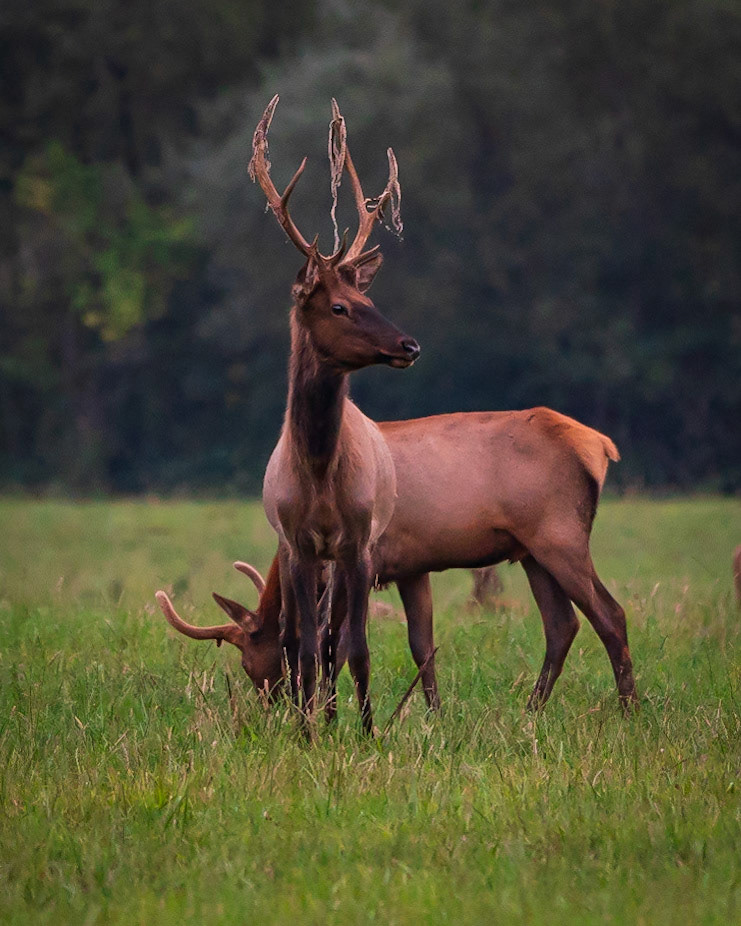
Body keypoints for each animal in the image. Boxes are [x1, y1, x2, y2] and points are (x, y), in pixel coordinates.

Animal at [157, 408, 638, 716]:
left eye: (248, 659)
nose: (270, 707)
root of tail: (601, 446)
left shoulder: (363, 563)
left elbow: (338, 644)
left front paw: (332, 714)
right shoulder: (411, 568)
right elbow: (422, 645)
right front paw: (436, 717)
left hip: (560, 535)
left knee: (610, 614)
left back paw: (628, 711)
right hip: (532, 551)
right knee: (562, 624)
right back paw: (531, 710)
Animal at [249, 96, 419, 734]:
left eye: (370, 298)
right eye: (341, 307)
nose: (409, 345)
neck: (321, 474)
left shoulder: (358, 542)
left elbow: (357, 646)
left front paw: (366, 731)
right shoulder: (299, 542)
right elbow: (300, 643)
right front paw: (303, 734)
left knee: (331, 640)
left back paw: (331, 715)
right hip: (298, 554)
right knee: (302, 636)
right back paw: (312, 715)